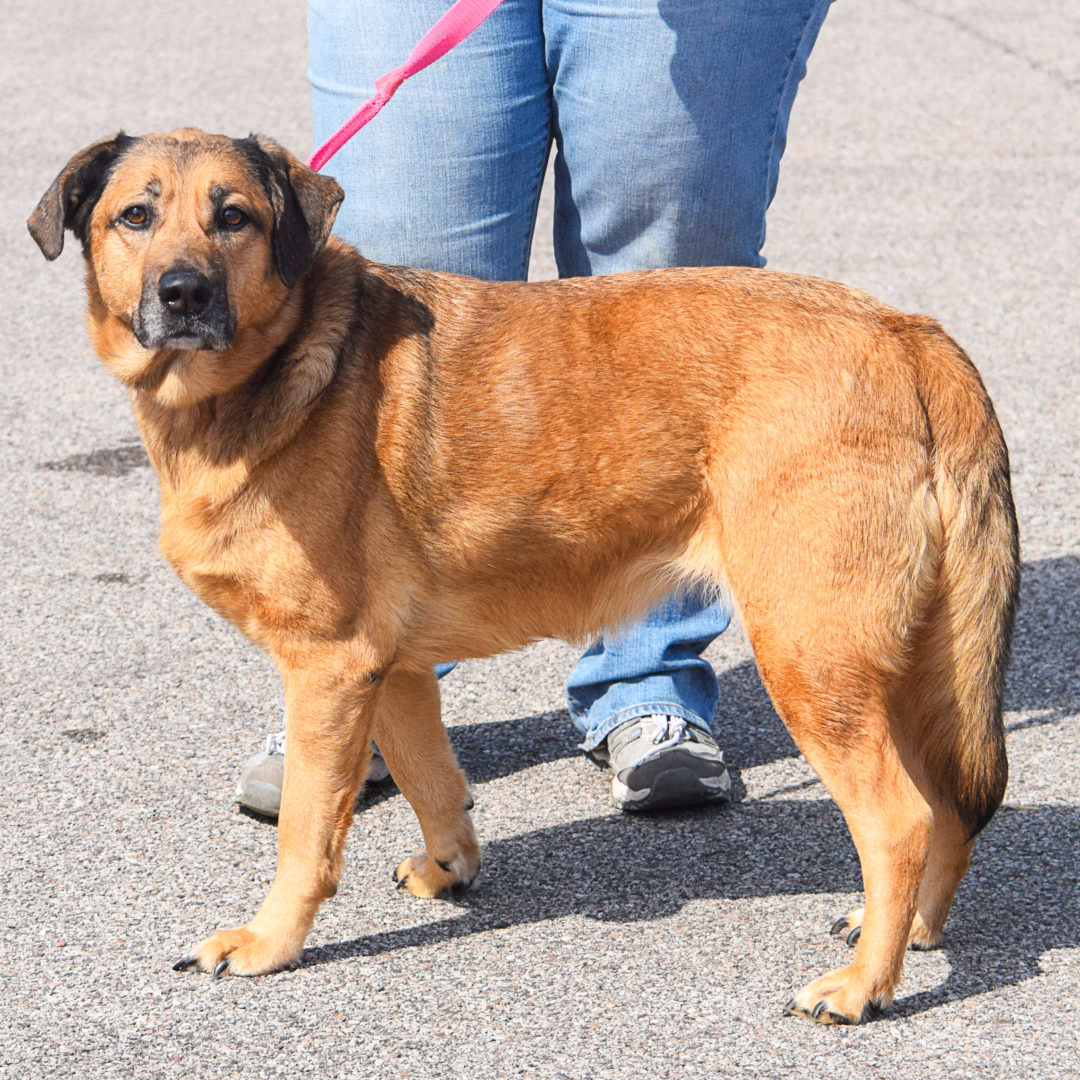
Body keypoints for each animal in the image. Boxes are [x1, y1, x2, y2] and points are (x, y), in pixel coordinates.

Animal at [27, 130, 1019, 1023]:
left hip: (812, 660)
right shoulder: (391, 672)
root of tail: (906, 332)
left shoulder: (329, 669)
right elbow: (434, 784)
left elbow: (308, 834)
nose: (182, 292)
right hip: (901, 666)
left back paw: (864, 989)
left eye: (233, 217)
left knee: (899, 820)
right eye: (135, 217)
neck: (279, 367)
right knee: (949, 808)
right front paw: (448, 871)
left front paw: (271, 942)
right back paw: (909, 937)